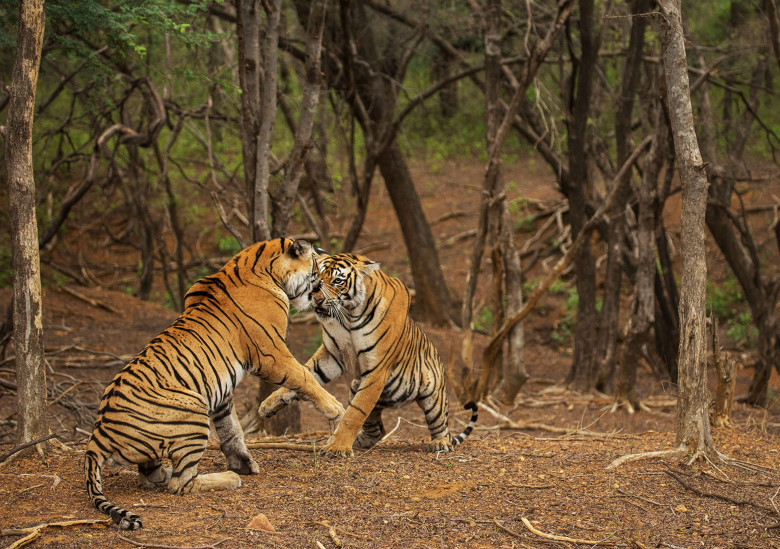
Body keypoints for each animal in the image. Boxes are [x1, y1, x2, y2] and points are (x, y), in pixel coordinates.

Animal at [82, 238, 344, 528]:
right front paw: (335, 408)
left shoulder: (220, 388)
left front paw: (244, 463)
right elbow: (304, 377)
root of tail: (98, 436)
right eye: (318, 266)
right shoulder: (271, 355)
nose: (321, 291)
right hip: (192, 406)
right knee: (181, 484)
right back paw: (228, 478)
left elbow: (231, 428)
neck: (264, 268)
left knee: (153, 475)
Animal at [258, 253, 476, 458]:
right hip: (357, 388)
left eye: (337, 281)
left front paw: (337, 448)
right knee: (378, 430)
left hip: (433, 396)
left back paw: (440, 444)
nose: (317, 299)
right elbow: (305, 374)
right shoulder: (333, 355)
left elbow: (354, 414)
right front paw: (269, 404)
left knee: (441, 425)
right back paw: (357, 441)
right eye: (315, 278)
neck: (348, 315)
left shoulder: (377, 369)